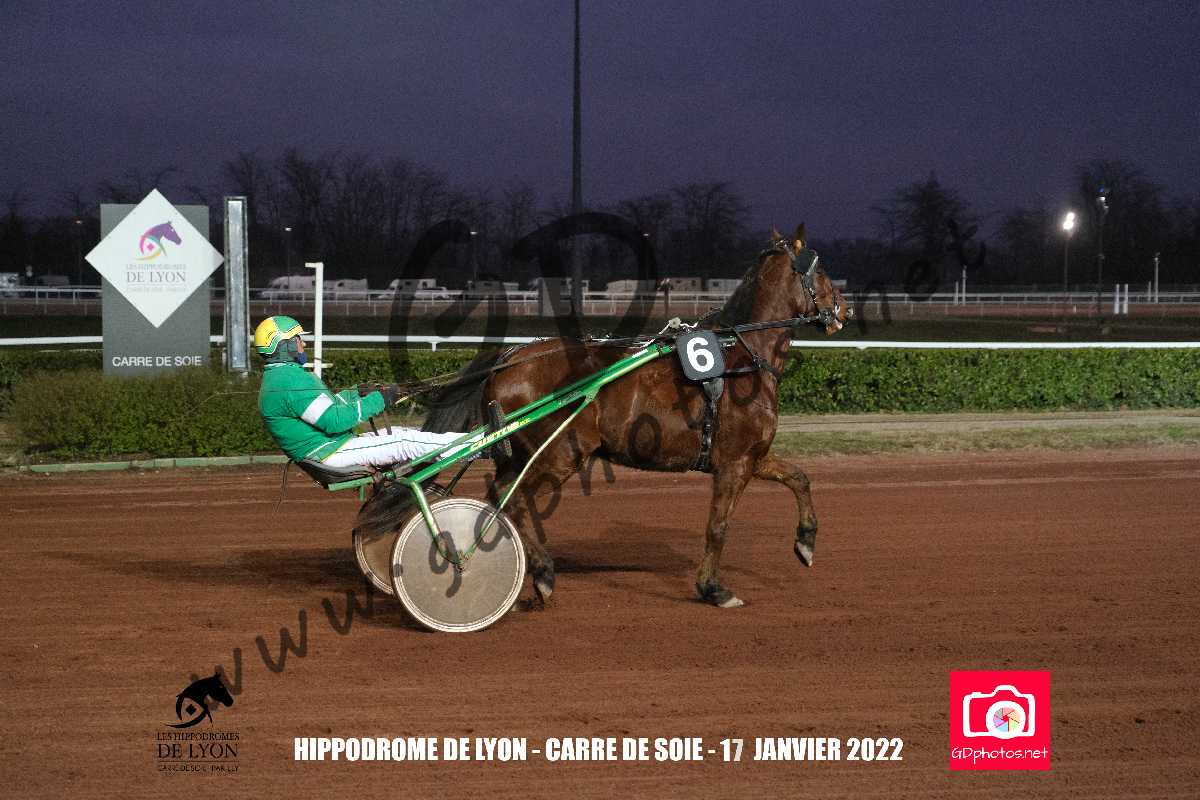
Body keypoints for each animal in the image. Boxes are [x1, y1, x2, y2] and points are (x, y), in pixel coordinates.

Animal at [426, 224, 848, 609]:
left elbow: (799, 478)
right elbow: (718, 527)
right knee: (511, 500)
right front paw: (713, 589)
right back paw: (542, 575)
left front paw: (806, 542)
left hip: (525, 454)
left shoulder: (752, 457)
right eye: (822, 270)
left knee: (500, 494)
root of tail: (511, 356)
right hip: (559, 454)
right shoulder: (734, 463)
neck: (741, 358)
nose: (844, 308)